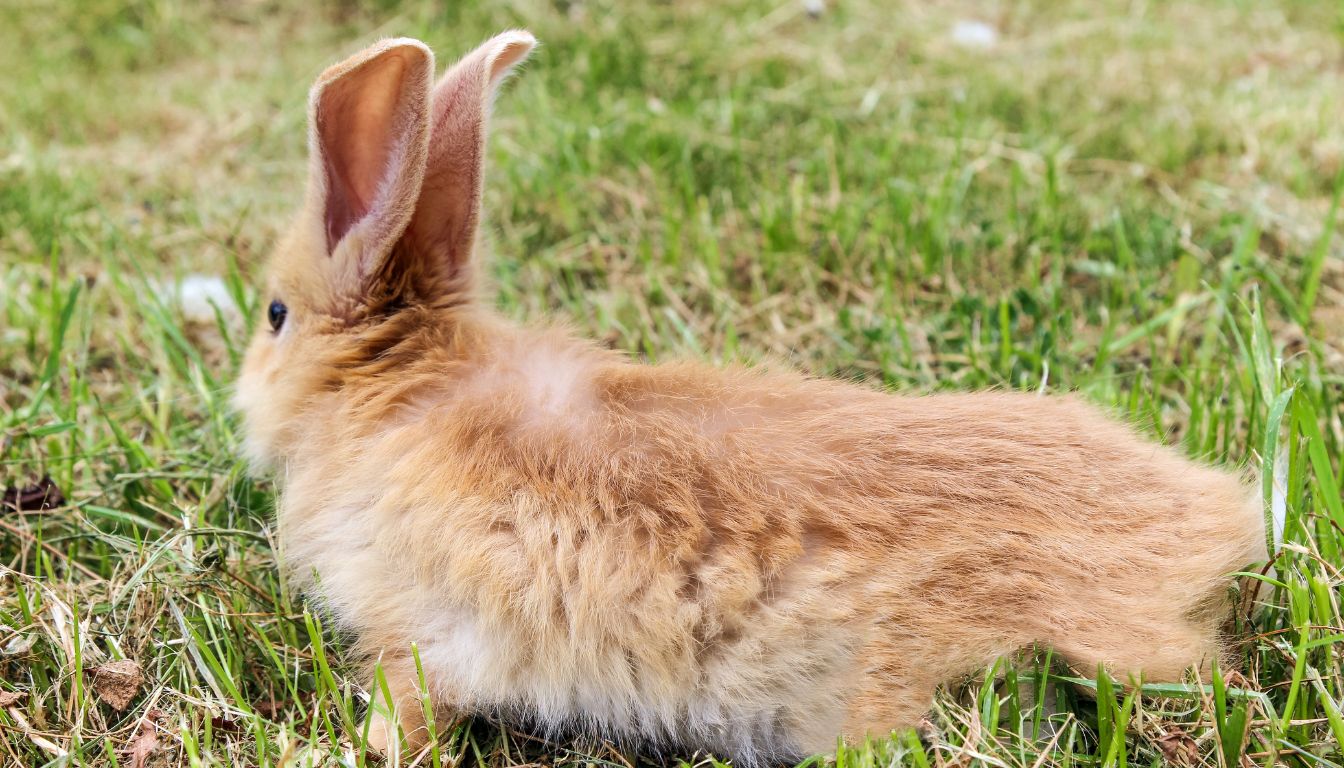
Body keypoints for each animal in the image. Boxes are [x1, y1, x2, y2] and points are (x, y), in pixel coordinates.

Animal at [234, 31, 1269, 765]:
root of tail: (1221, 525)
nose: (244, 398)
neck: (394, 388)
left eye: (276, 314)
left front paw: (350, 749)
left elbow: (408, 711)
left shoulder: (419, 636)